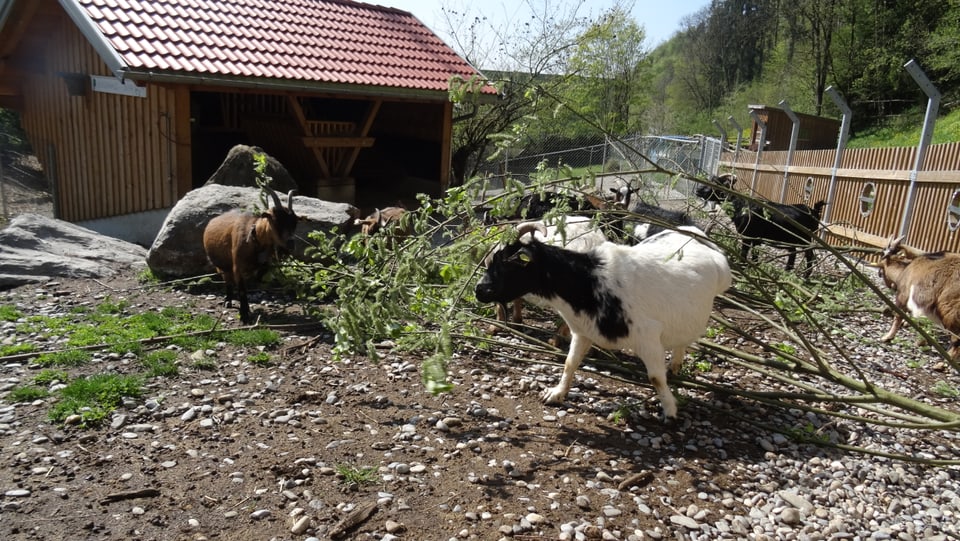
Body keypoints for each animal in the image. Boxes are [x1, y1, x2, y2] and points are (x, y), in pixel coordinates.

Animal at [206, 187, 300, 320]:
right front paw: (244, 315)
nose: (291, 244)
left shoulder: (264, 263)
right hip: (222, 266)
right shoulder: (237, 267)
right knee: (228, 281)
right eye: (276, 221)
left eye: (295, 222)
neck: (254, 239)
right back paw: (228, 301)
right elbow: (242, 289)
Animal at [476, 220, 732, 418]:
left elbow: (655, 378)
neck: (588, 280)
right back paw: (676, 366)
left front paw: (670, 410)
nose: (479, 290)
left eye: (506, 263)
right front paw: (555, 393)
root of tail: (696, 235)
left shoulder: (648, 337)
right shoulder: (583, 331)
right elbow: (570, 363)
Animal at [696, 173, 824, 276]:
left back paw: (805, 277)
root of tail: (814, 212)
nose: (697, 190)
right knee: (793, 254)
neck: (740, 205)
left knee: (809, 256)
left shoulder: (748, 236)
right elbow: (755, 257)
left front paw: (742, 270)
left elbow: (744, 255)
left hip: (805, 240)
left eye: (715, 183)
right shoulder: (756, 239)